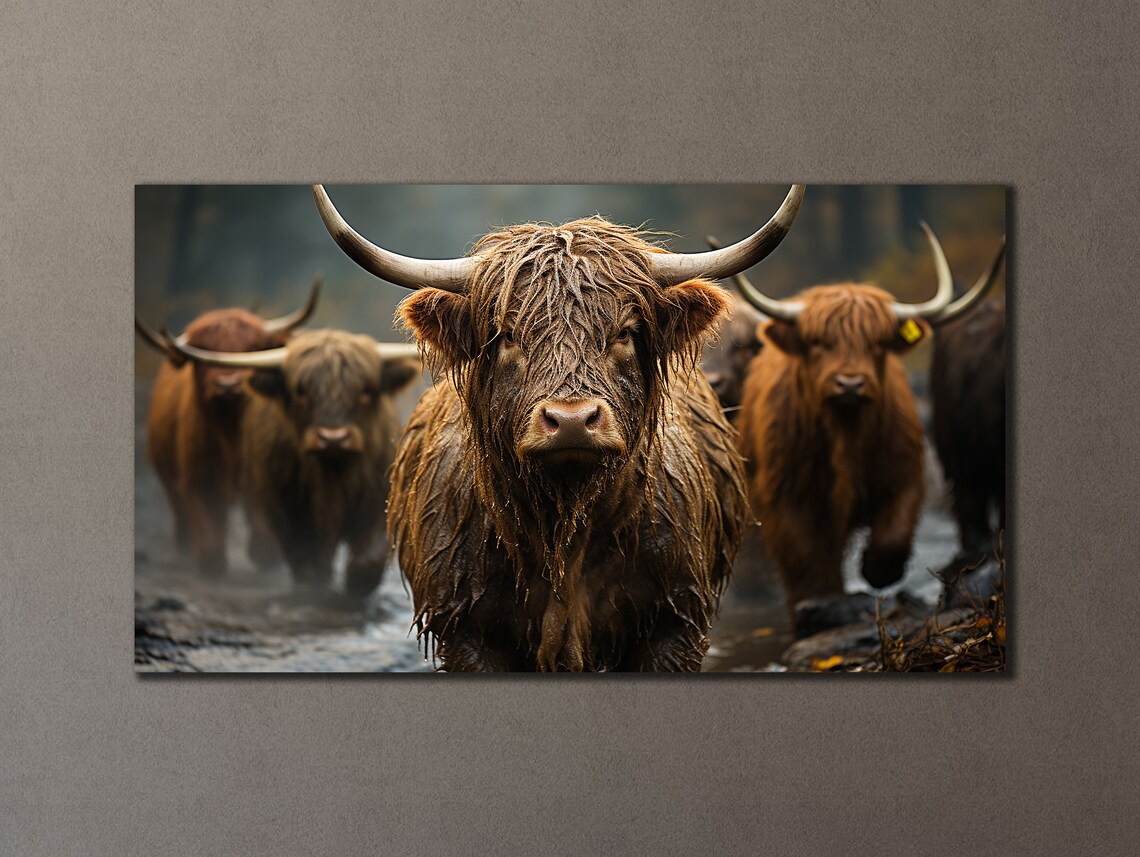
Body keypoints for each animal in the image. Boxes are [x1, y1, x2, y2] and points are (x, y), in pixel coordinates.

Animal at [135, 278, 321, 576]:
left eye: (251, 347)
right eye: (204, 353)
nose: (228, 384)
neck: (231, 430)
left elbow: (260, 516)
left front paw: (264, 555)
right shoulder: (199, 475)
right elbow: (208, 522)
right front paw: (210, 563)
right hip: (166, 471)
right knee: (180, 512)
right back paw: (183, 550)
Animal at [164, 329, 421, 600]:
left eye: (365, 390)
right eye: (301, 391)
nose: (333, 438)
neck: (332, 474)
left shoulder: (377, 499)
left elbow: (368, 558)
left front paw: (355, 588)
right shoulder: (288, 505)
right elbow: (303, 555)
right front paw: (313, 586)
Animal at [311, 183, 804, 671]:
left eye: (624, 331)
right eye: (508, 334)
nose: (572, 421)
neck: (563, 528)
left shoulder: (673, 622)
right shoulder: (468, 629)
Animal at [730, 225, 1006, 637]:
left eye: (877, 344)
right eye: (818, 343)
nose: (850, 383)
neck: (846, 434)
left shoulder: (905, 475)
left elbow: (892, 537)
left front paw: (874, 574)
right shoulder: (787, 494)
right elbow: (807, 557)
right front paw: (819, 604)